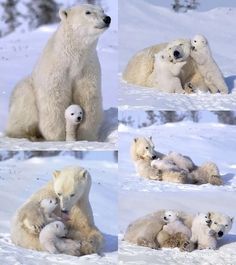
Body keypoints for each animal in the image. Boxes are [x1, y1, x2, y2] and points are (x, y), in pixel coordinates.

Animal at [6, 4, 111, 140]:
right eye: (88, 12)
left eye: (102, 10)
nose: (107, 18)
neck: (72, 58)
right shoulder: (57, 69)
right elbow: (54, 99)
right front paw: (58, 137)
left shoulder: (86, 68)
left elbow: (88, 98)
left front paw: (85, 135)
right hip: (25, 93)